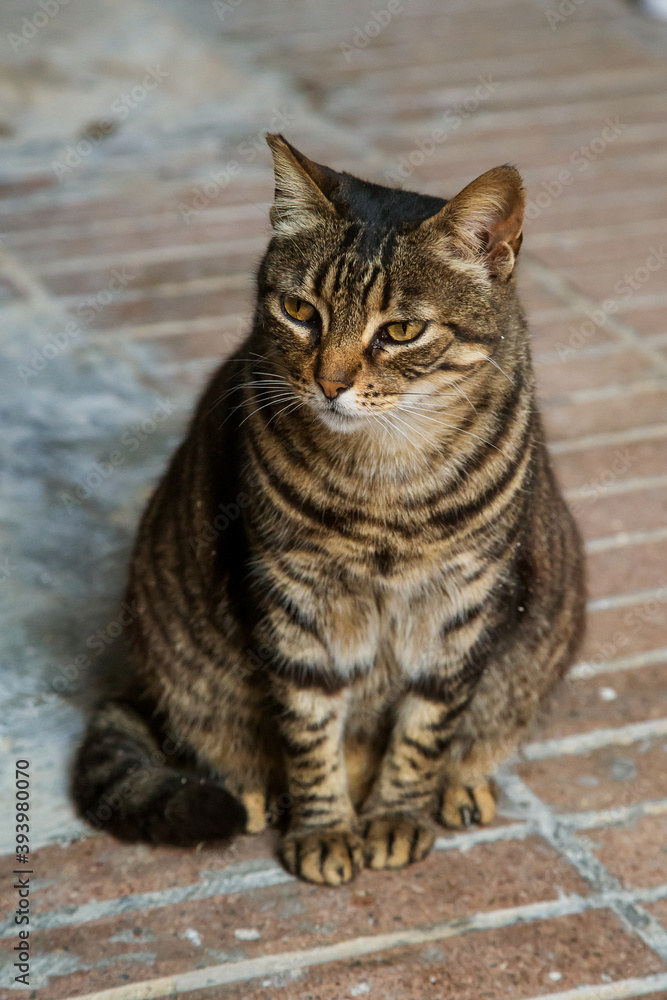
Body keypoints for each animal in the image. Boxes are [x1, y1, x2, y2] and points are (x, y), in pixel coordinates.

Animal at [70, 131, 588, 884]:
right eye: (300, 312)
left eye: (400, 331)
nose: (330, 382)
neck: (386, 484)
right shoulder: (294, 603)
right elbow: (310, 729)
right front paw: (325, 829)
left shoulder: (461, 609)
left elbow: (425, 730)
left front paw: (395, 817)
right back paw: (255, 793)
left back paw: (461, 785)